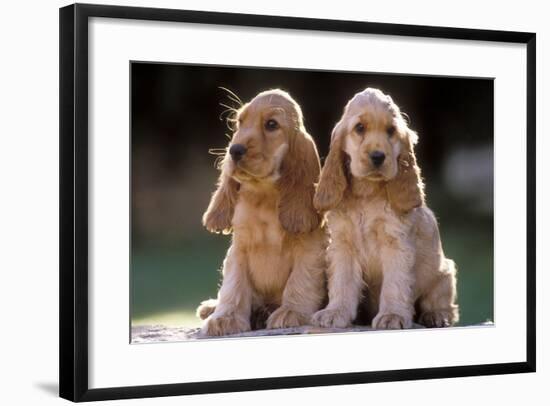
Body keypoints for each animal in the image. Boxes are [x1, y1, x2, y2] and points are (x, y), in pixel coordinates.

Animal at [198, 89, 328, 336]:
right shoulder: (239, 248)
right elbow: (234, 285)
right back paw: (211, 308)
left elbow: (300, 280)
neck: (264, 195)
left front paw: (291, 311)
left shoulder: (310, 248)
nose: (234, 150)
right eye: (239, 122)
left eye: (271, 124)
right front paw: (225, 318)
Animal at [312, 87, 460, 328]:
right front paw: (335, 312)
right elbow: (342, 282)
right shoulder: (343, 245)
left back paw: (437, 315)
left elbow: (395, 284)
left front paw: (392, 316)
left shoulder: (396, 243)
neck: (367, 193)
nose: (378, 156)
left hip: (444, 273)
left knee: (443, 303)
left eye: (391, 130)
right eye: (359, 128)